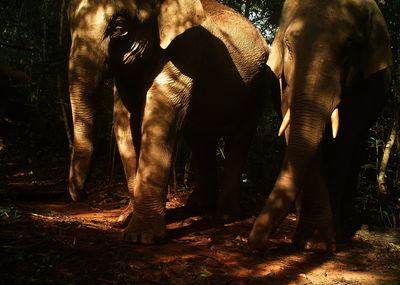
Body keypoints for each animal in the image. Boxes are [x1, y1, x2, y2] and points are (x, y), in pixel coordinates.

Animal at [67, 0, 278, 243]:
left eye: (119, 25)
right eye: (68, 19)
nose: (83, 194)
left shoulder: (185, 51)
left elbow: (159, 117)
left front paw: (141, 238)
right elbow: (123, 122)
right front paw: (124, 221)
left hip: (258, 88)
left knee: (239, 140)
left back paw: (225, 216)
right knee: (201, 141)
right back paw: (197, 206)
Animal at [248, 0, 392, 250]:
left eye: (350, 44)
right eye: (289, 44)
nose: (250, 242)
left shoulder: (364, 87)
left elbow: (343, 139)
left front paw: (319, 244)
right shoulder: (286, 85)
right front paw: (312, 244)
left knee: (356, 151)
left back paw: (342, 230)